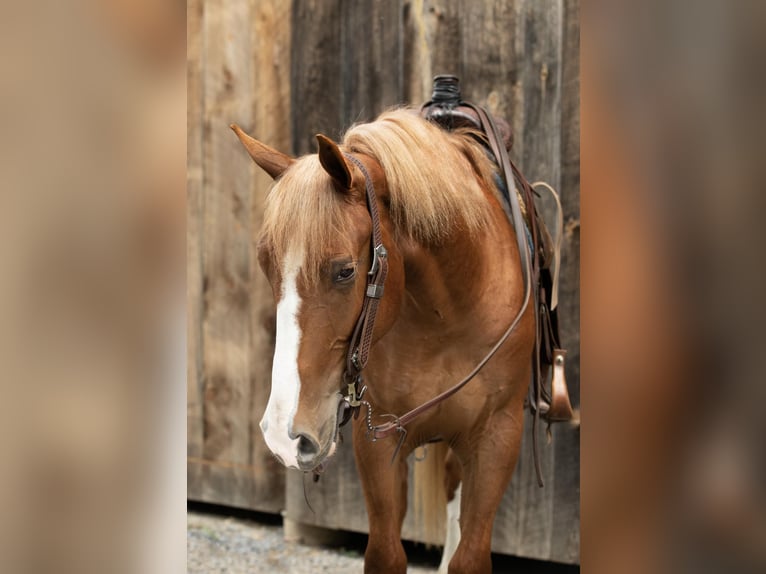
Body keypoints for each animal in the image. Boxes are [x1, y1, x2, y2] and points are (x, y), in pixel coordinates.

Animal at [231, 110, 536, 572]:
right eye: (267, 265)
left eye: (344, 271)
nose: (285, 435)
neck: (448, 314)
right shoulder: (378, 437)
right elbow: (386, 553)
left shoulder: (498, 436)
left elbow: (469, 556)